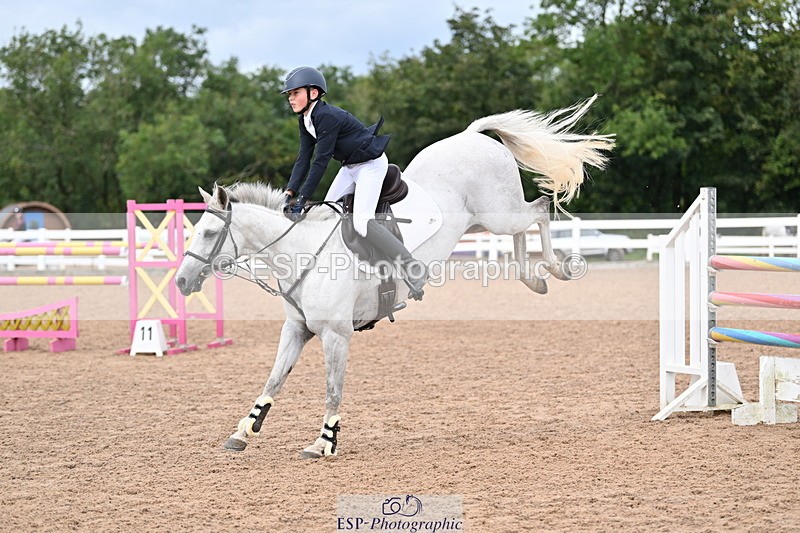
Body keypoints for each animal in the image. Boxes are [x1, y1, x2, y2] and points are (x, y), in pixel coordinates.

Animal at [175, 96, 614, 457]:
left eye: (209, 234)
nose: (181, 282)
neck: (301, 252)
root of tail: (473, 136)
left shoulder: (336, 334)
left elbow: (333, 389)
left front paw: (324, 442)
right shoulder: (297, 330)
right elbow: (273, 380)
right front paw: (244, 431)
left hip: (499, 211)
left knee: (540, 209)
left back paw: (554, 269)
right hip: (491, 217)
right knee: (527, 224)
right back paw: (534, 278)